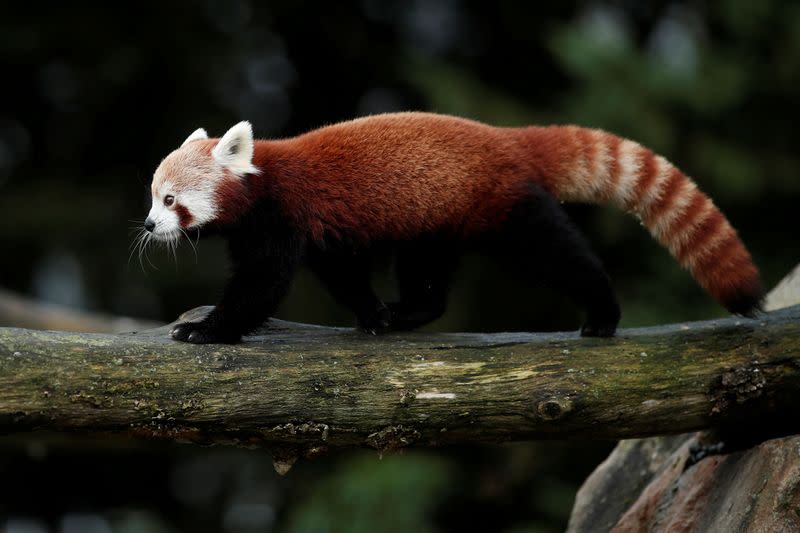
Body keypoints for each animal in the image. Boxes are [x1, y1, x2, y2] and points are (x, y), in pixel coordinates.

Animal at [144, 114, 764, 342]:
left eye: (170, 199)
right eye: (152, 197)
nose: (149, 226)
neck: (260, 179)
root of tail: (506, 137)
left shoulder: (282, 219)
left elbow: (262, 286)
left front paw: (208, 330)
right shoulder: (321, 234)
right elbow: (344, 273)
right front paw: (374, 316)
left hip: (506, 211)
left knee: (557, 255)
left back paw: (602, 314)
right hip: (436, 220)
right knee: (428, 278)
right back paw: (408, 312)